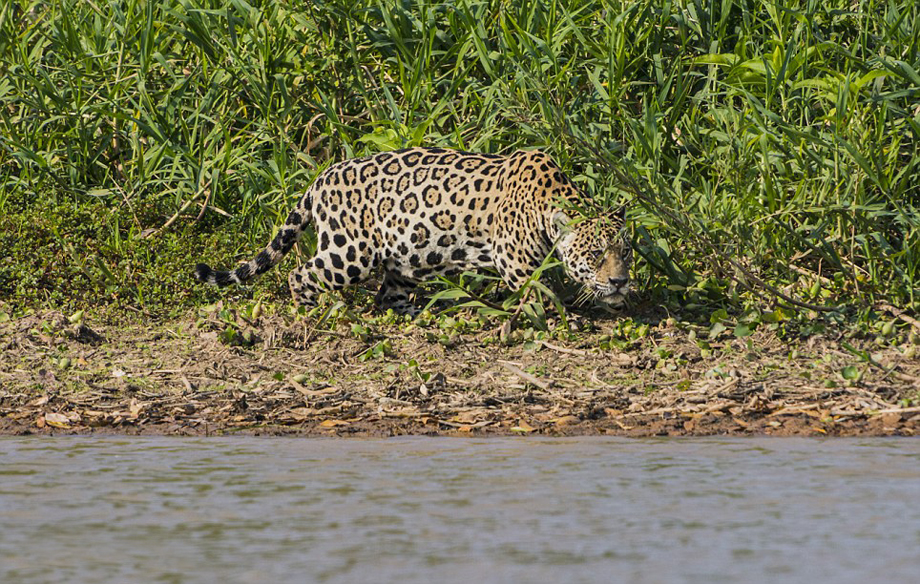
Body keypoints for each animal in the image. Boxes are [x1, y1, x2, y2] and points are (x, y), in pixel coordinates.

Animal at [194, 147, 632, 315]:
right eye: (595, 254)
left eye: (624, 253)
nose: (621, 282)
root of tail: (320, 178)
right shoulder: (516, 264)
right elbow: (541, 294)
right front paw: (565, 317)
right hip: (349, 253)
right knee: (299, 274)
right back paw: (316, 310)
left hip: (405, 260)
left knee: (387, 297)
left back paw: (420, 312)